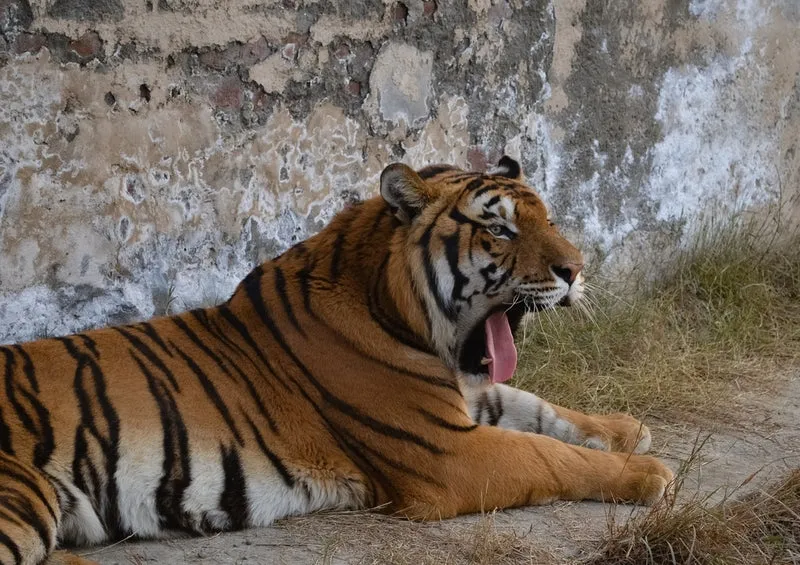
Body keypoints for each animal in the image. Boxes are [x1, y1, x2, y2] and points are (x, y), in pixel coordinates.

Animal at [0, 156, 672, 565]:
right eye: (501, 231)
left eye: (549, 219)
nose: (575, 270)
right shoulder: (447, 454)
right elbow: (549, 455)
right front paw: (649, 473)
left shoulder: (463, 398)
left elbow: (534, 406)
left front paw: (626, 429)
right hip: (21, 499)